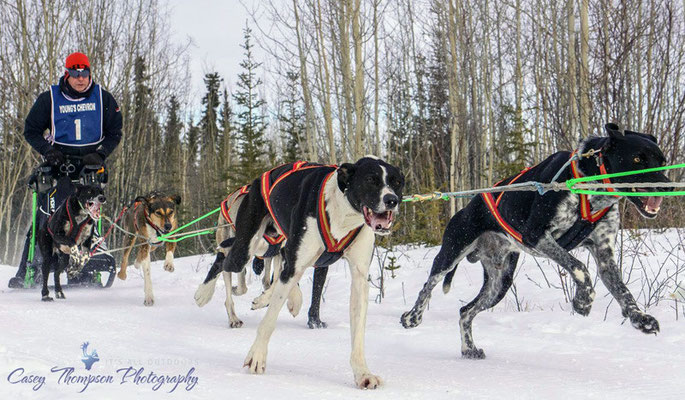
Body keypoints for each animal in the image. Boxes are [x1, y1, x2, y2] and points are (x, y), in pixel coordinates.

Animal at [220, 157, 403, 389]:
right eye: (371, 180)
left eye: (397, 182)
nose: (391, 200)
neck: (343, 214)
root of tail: (258, 179)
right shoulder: (294, 262)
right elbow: (269, 321)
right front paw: (257, 357)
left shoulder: (359, 277)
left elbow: (358, 334)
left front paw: (362, 373)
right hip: (248, 246)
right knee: (227, 260)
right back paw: (226, 304)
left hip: (275, 243)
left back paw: (274, 298)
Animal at [401, 123, 670, 359]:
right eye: (637, 159)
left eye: (662, 161)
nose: (667, 186)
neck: (589, 181)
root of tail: (467, 206)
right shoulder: (536, 235)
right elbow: (579, 267)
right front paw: (583, 300)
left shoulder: (604, 253)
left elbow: (623, 291)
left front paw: (640, 318)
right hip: (451, 252)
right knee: (428, 286)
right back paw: (412, 317)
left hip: (500, 283)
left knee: (466, 311)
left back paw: (469, 349)